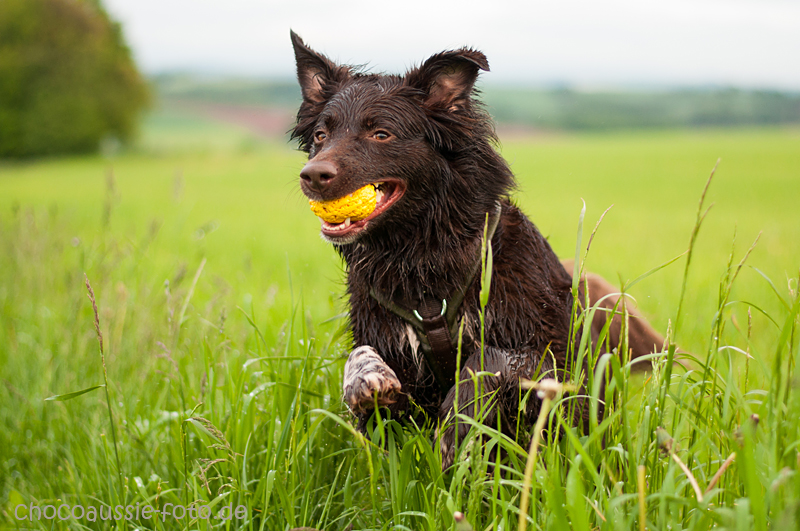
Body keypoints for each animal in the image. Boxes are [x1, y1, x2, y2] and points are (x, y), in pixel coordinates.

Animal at [290, 32, 664, 470]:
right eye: (320, 136)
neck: (421, 261)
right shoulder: (397, 400)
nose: (313, 176)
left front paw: (458, 425)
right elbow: (362, 360)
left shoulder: (557, 368)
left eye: (381, 133)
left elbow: (489, 358)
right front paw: (365, 378)